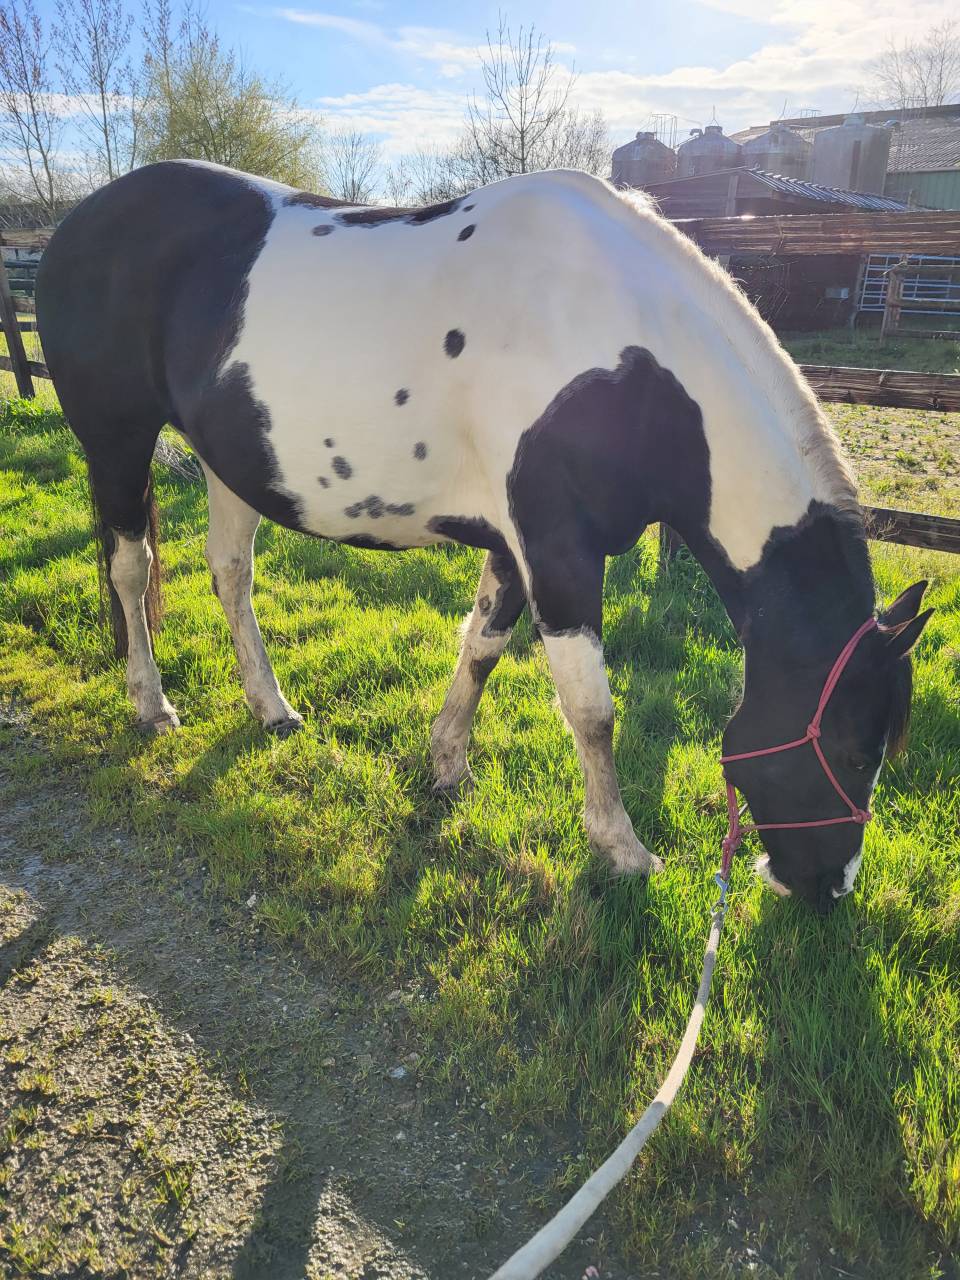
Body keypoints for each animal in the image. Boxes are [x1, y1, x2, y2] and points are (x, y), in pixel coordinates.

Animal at [35, 160, 932, 912]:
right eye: (855, 752)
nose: (826, 888)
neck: (624, 356)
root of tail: (77, 223)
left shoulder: (513, 545)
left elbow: (482, 651)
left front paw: (447, 768)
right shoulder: (559, 553)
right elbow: (591, 709)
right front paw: (621, 849)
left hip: (232, 462)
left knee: (229, 572)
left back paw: (272, 708)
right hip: (115, 440)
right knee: (129, 571)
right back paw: (151, 705)